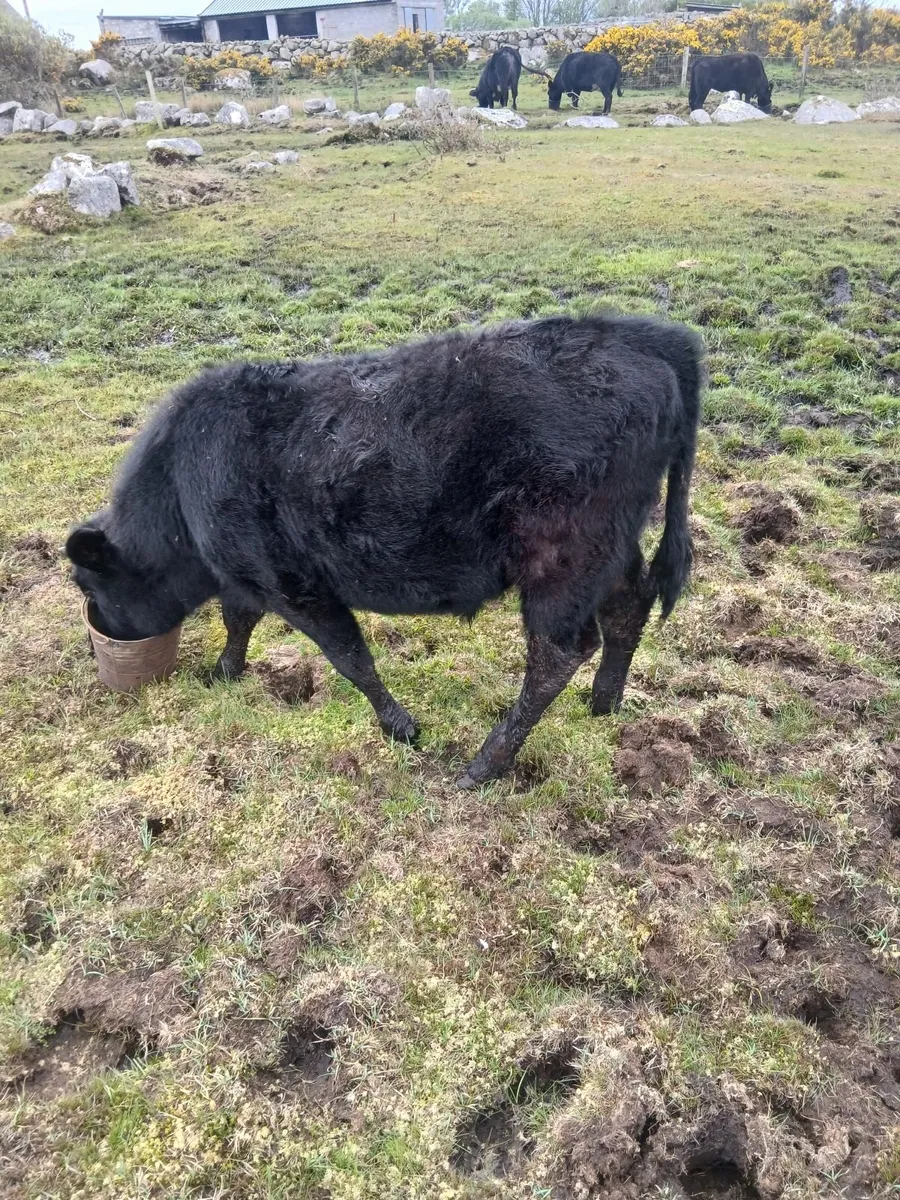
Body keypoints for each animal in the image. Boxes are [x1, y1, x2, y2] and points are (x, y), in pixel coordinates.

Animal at [66, 314, 702, 788]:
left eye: (90, 584)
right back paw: (604, 702)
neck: (182, 484)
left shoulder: (292, 584)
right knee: (628, 607)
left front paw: (401, 728)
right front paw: (225, 672)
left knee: (558, 654)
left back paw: (485, 765)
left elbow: (350, 657)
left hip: (561, 557)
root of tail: (645, 334)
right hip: (611, 546)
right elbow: (239, 618)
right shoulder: (246, 573)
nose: (105, 633)